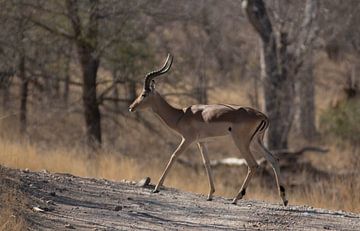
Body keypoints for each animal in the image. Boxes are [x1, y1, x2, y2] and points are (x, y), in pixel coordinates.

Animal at [128, 53, 288, 206]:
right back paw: (284, 200)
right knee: (273, 159)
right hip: (256, 142)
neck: (181, 115)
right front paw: (210, 195)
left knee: (253, 165)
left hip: (241, 142)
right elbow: (207, 163)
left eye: (144, 94)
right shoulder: (202, 142)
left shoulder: (187, 139)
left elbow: (174, 156)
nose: (131, 107)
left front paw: (156, 188)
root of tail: (263, 116)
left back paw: (236, 198)